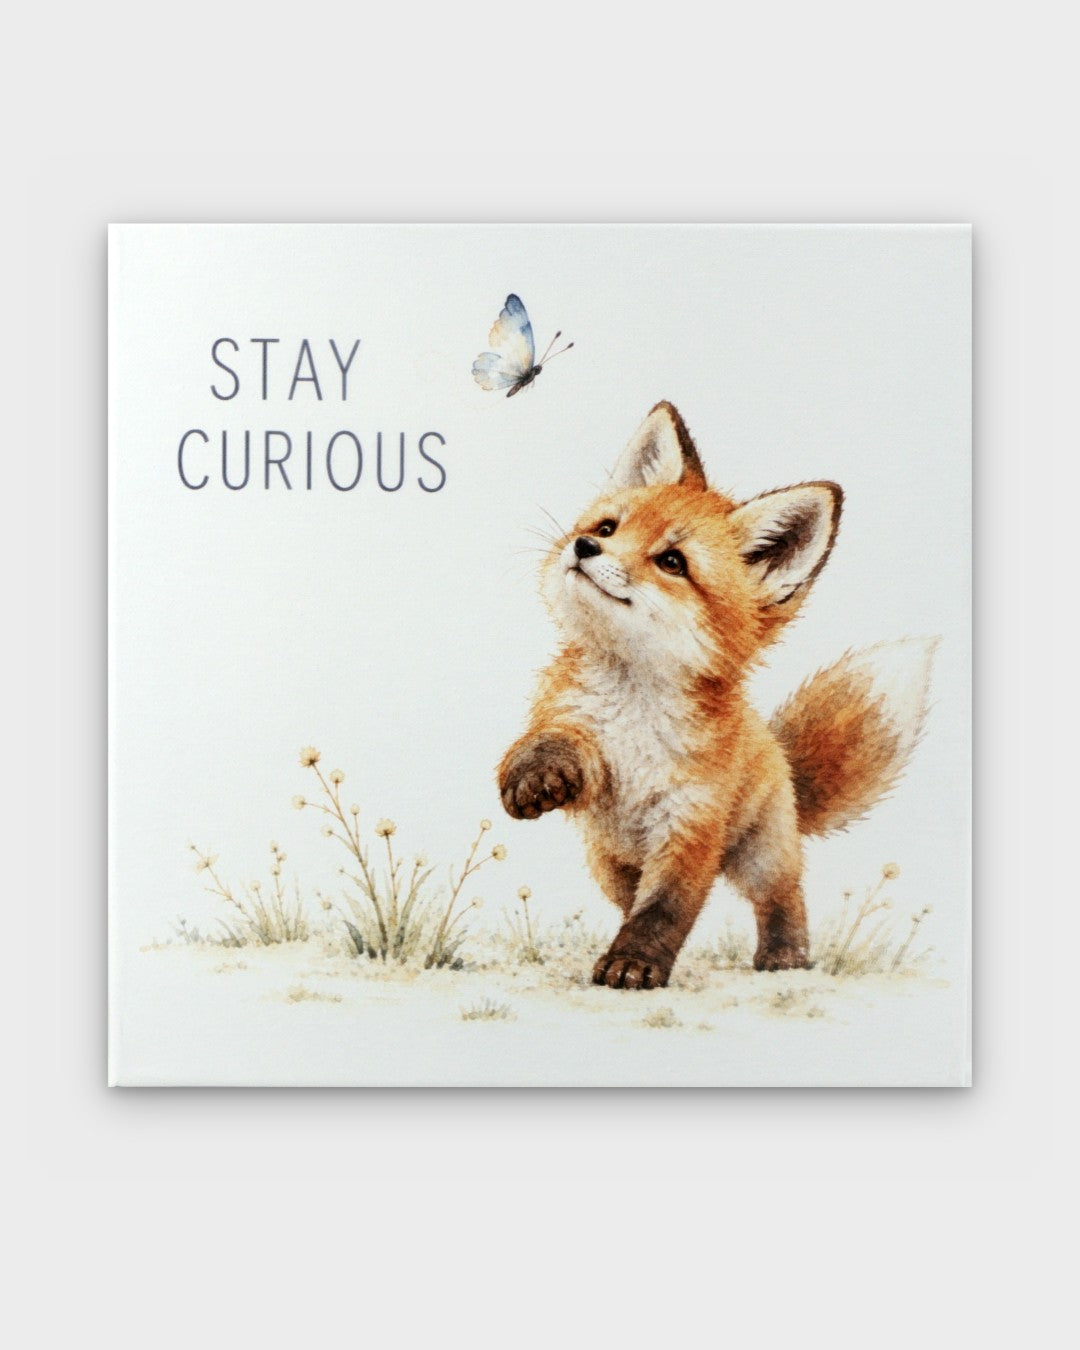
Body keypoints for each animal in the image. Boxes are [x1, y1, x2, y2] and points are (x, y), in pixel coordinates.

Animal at [497, 401, 936, 989]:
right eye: (608, 528)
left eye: (672, 562)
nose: (584, 546)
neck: (635, 705)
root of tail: (780, 757)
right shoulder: (575, 726)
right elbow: (548, 743)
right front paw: (536, 775)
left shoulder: (691, 822)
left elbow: (664, 909)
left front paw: (635, 962)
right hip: (609, 862)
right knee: (628, 898)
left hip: (762, 856)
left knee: (783, 897)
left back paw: (786, 954)